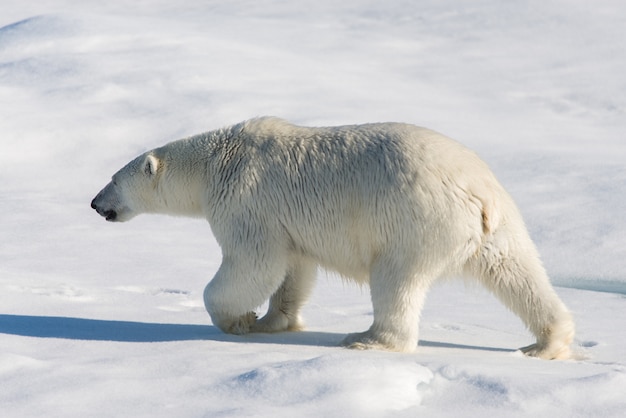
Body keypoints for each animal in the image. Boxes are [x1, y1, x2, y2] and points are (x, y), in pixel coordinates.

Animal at [90, 116, 572, 360]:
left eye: (112, 179)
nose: (95, 203)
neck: (214, 162)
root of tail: (478, 191)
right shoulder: (286, 221)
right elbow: (293, 268)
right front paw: (272, 321)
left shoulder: (245, 199)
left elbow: (253, 262)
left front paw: (239, 320)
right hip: (498, 225)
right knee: (518, 271)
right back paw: (547, 342)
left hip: (412, 220)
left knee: (396, 279)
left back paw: (368, 339)